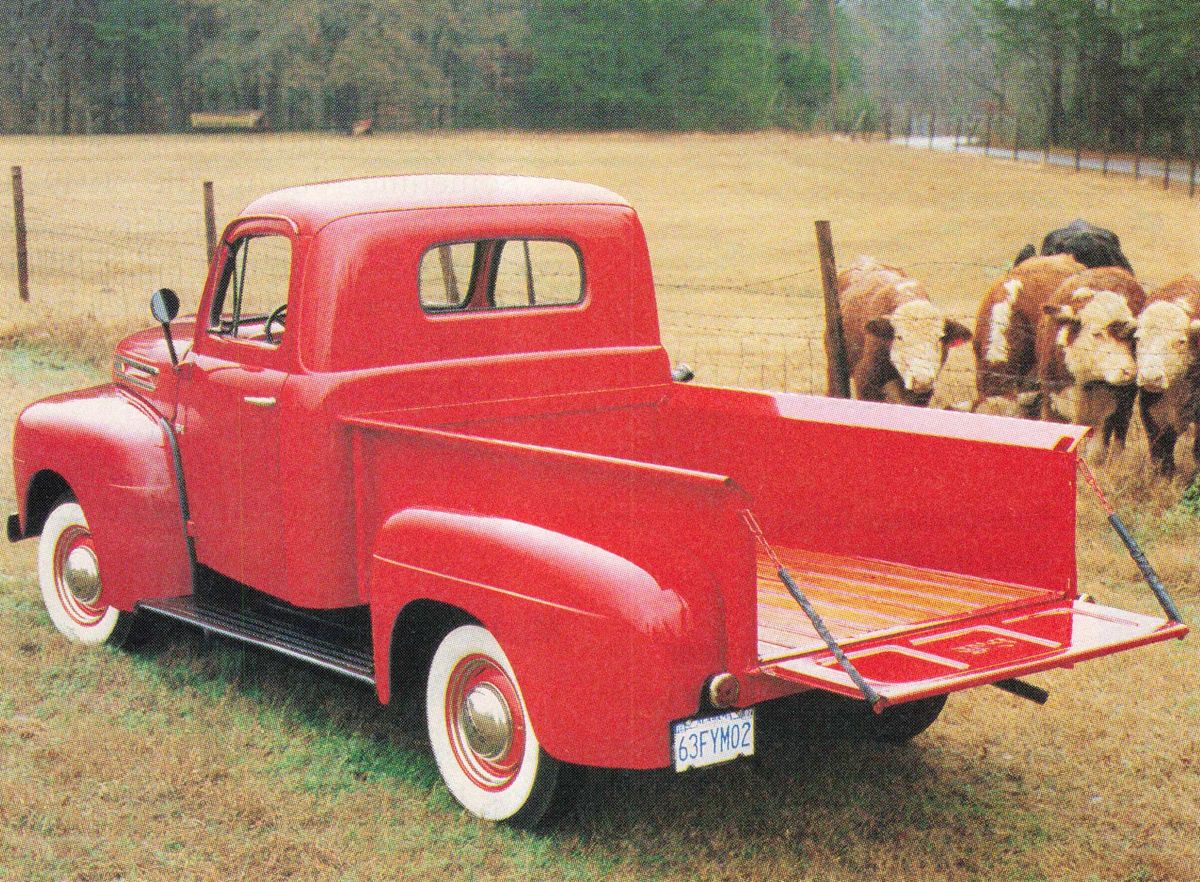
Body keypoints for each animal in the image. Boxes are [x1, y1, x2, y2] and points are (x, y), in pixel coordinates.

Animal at [1036, 265, 1147, 451]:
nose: (1129, 372)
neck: (1085, 380)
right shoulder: (1053, 406)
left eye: (1133, 337)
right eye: (1096, 334)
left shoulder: (1109, 414)